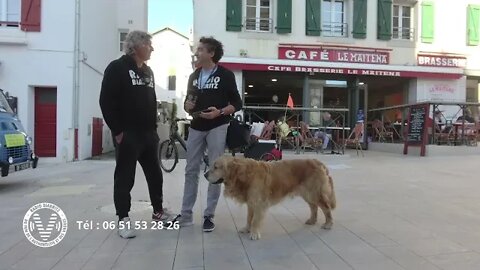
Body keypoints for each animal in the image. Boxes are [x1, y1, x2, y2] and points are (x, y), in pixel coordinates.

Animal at [204, 156, 336, 240]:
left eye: (216, 167)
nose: (205, 175)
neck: (244, 174)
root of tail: (317, 161)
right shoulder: (251, 203)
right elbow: (249, 218)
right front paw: (247, 229)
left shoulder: (259, 203)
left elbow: (255, 220)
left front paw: (254, 233)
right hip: (308, 194)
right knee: (314, 207)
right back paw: (312, 220)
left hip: (314, 193)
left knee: (326, 208)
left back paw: (328, 224)